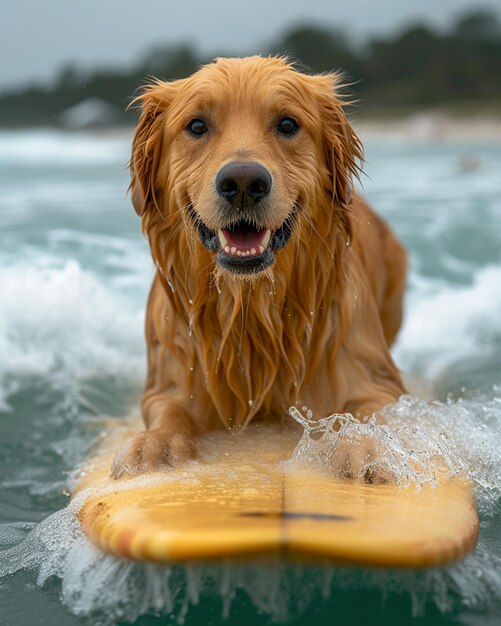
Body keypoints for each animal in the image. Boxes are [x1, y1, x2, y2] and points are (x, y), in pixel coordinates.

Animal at [110, 57, 406, 478]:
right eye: (196, 126)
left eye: (287, 124)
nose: (243, 182)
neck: (251, 311)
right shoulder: (169, 375)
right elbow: (169, 409)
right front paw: (155, 445)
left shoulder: (374, 375)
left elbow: (372, 410)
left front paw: (365, 448)